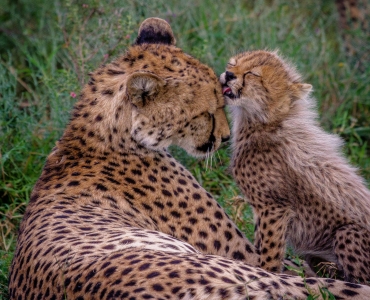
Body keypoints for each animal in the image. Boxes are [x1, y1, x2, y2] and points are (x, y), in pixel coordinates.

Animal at [221, 49, 370, 284]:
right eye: (232, 64)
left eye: (253, 74)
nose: (228, 74)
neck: (265, 124)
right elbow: (261, 243)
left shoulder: (273, 207)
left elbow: (270, 249)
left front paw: (266, 275)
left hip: (347, 233)